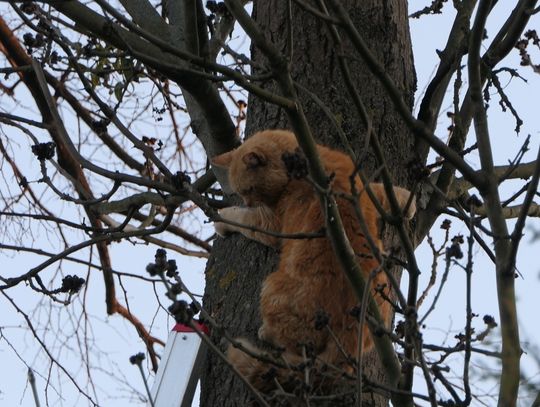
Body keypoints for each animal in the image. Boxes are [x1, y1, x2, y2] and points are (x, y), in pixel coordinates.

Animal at [211, 130, 414, 392]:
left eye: (249, 190)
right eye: (241, 192)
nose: (247, 202)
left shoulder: (270, 224)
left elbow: (241, 219)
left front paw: (223, 218)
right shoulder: (363, 189)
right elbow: (387, 192)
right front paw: (407, 203)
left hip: (271, 287)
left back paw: (266, 332)